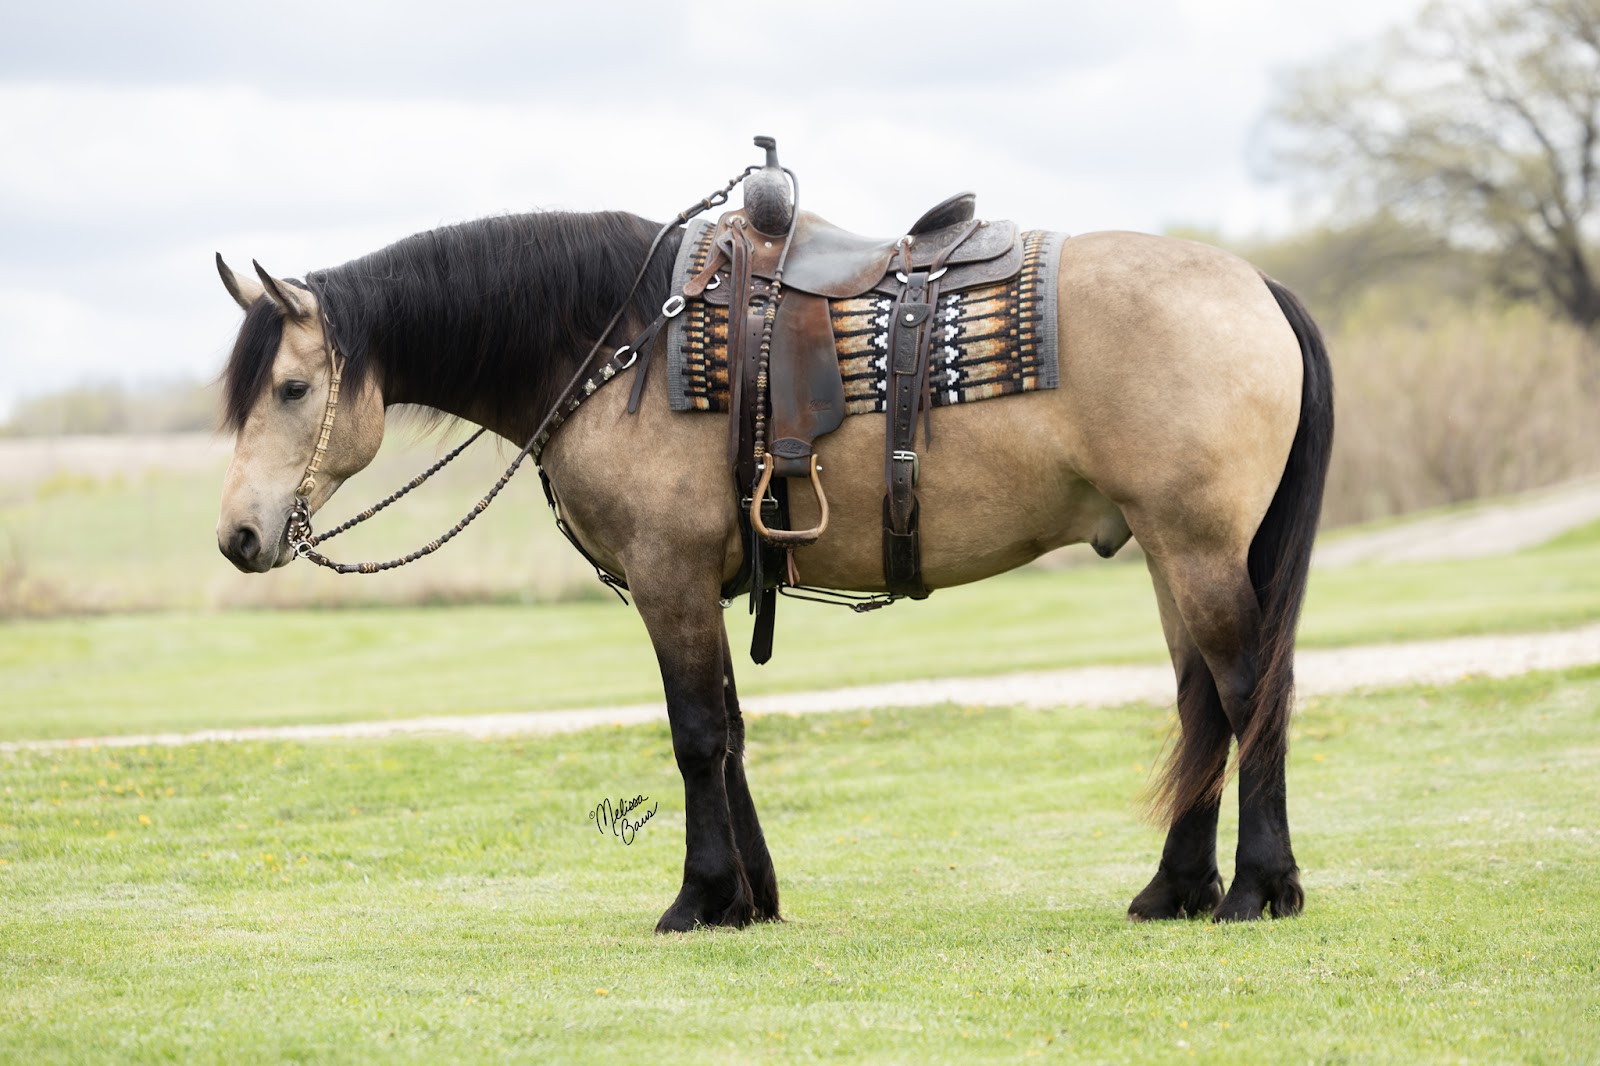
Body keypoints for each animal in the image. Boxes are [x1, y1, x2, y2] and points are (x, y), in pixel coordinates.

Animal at [214, 201, 1333, 932]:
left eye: (291, 387)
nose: (237, 536)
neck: (622, 341)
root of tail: (1258, 285)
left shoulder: (666, 577)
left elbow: (696, 734)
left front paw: (700, 896)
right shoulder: (704, 585)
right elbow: (733, 729)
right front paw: (751, 898)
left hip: (1198, 547)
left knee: (1247, 692)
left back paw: (1257, 888)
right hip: (1169, 550)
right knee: (1200, 702)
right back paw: (1175, 889)